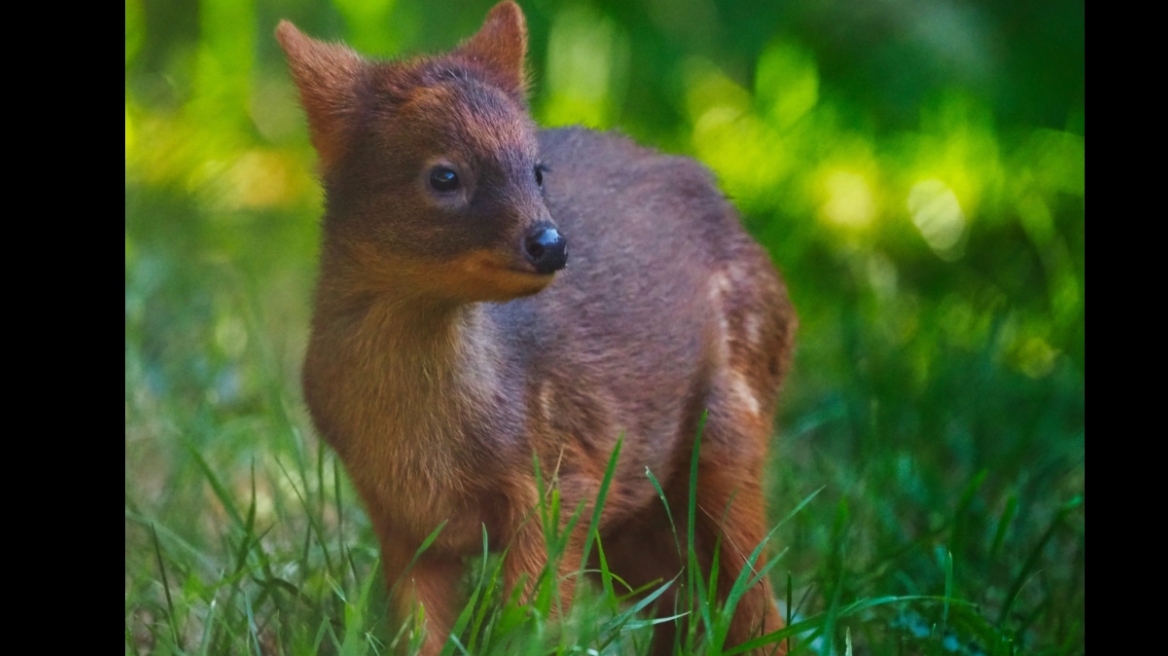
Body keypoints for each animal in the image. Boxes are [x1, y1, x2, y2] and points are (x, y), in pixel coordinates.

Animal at [277, 2, 798, 648]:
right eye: (444, 176)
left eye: (537, 169)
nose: (550, 244)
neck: (421, 442)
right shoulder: (400, 519)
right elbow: (420, 633)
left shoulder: (561, 477)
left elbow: (531, 621)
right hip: (634, 519)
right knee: (686, 604)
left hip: (730, 423)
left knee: (756, 601)